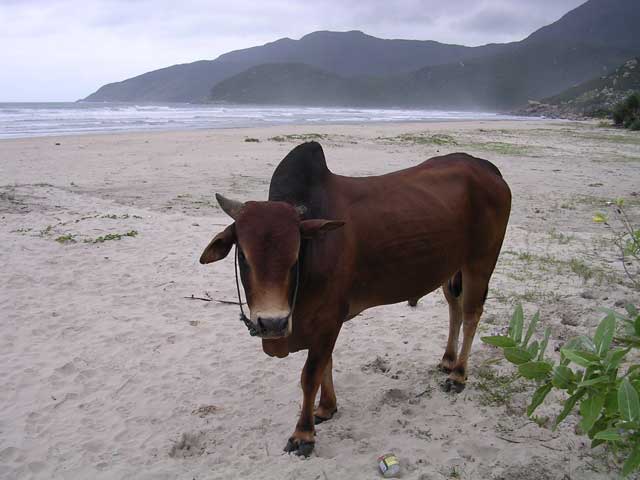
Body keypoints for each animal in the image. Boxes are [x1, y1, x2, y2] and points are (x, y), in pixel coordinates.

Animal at [200, 141, 510, 456]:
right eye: (243, 255)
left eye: (295, 256)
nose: (272, 323)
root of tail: (486, 167)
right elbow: (326, 364)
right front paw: (326, 408)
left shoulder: (328, 318)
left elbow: (310, 374)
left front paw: (303, 434)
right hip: (452, 267)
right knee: (454, 308)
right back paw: (447, 360)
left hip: (480, 262)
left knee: (471, 314)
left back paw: (458, 374)